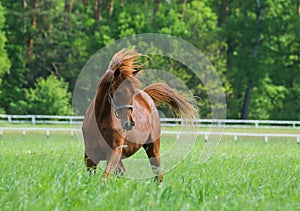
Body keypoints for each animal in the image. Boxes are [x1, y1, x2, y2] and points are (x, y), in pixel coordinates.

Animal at [82, 49, 196, 181]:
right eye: (118, 93)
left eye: (132, 93)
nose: (129, 123)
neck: (100, 122)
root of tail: (147, 96)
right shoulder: (90, 156)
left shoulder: (114, 152)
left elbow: (105, 177)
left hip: (153, 149)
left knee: (158, 175)